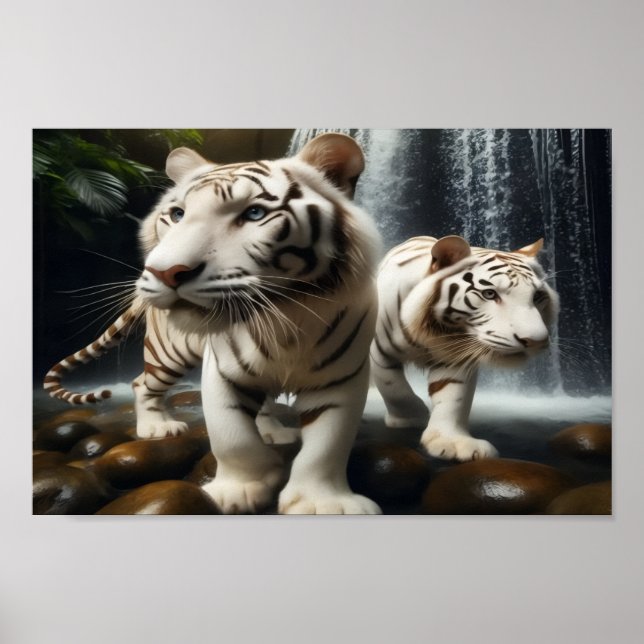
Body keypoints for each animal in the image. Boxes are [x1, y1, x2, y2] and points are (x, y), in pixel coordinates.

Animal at [44, 133, 382, 515]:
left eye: (254, 213)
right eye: (177, 214)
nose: (162, 272)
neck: (283, 313)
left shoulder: (342, 378)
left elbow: (327, 446)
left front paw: (322, 502)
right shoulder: (221, 370)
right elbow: (231, 435)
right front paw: (241, 489)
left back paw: (273, 432)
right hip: (168, 353)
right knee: (141, 384)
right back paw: (156, 428)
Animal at [370, 234, 559, 462]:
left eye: (537, 296)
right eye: (489, 294)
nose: (535, 341)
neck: (433, 331)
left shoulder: (457, 359)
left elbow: (453, 398)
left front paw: (452, 442)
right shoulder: (378, 352)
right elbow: (393, 386)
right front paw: (411, 417)